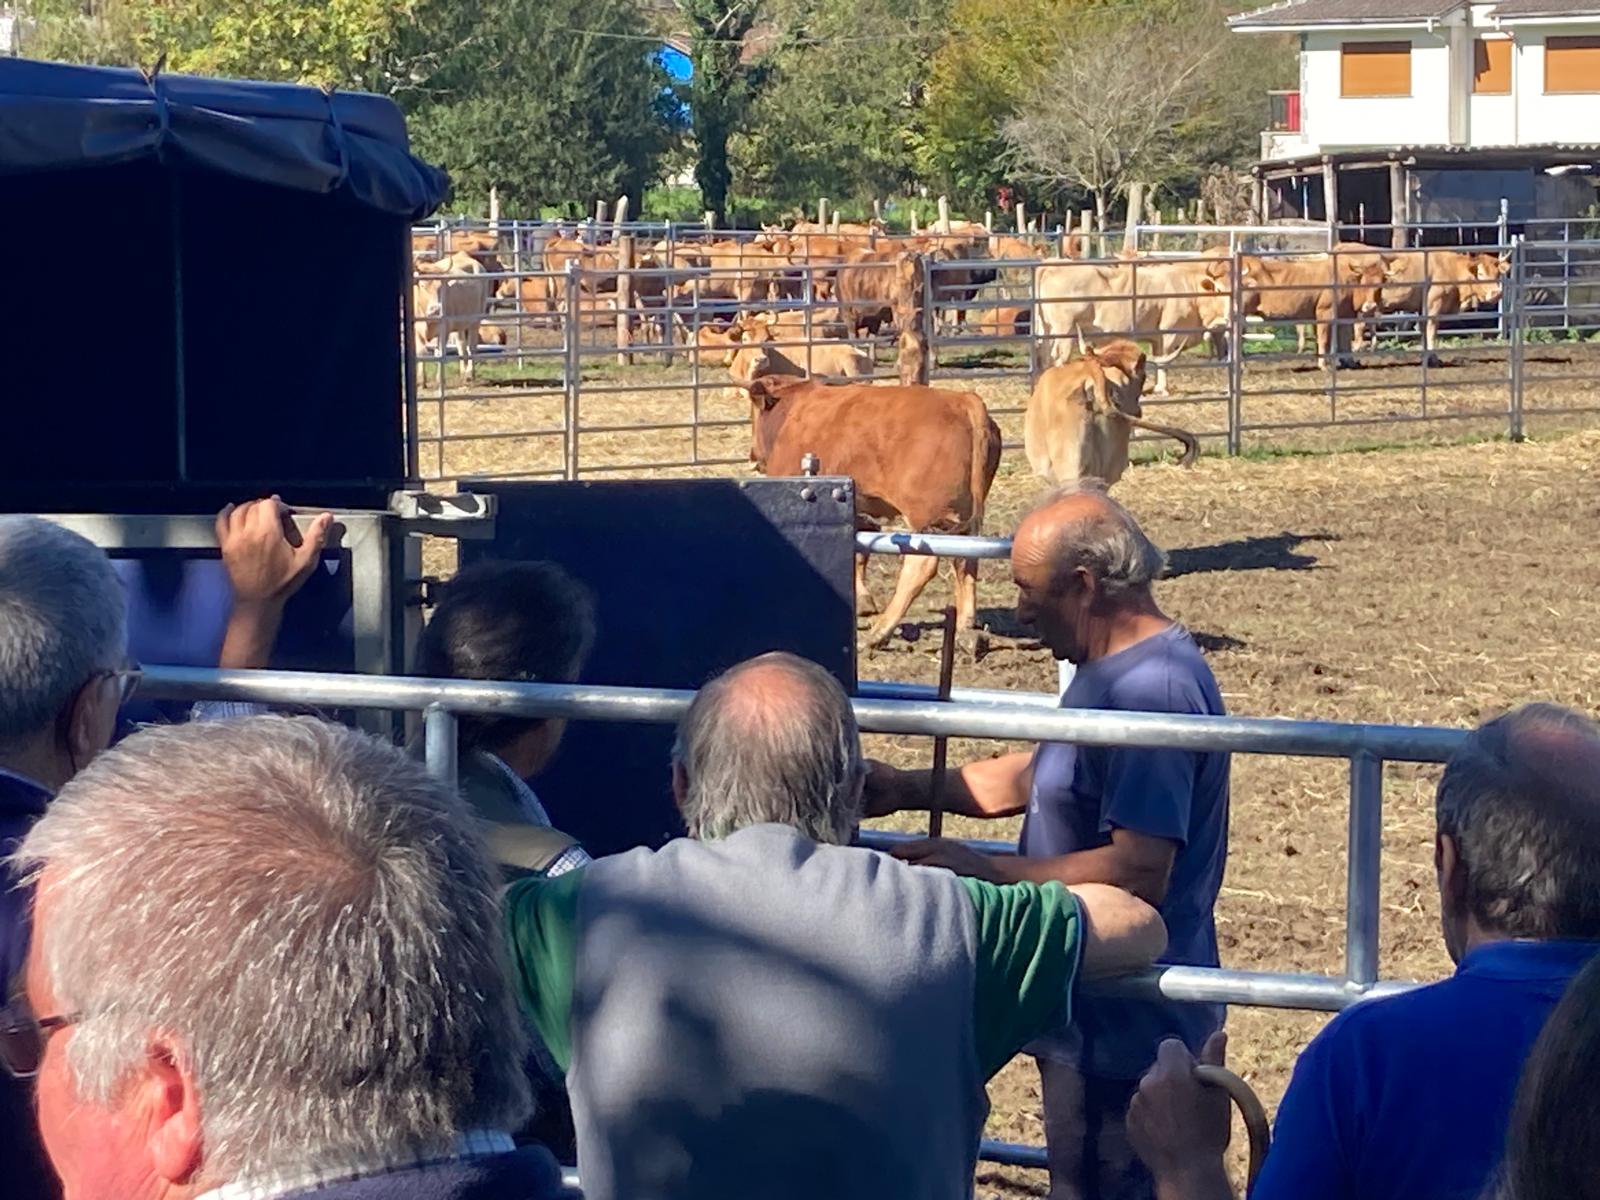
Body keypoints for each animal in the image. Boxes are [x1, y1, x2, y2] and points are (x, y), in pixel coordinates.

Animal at [748, 380, 998, 652]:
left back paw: (880, 632)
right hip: (964, 519)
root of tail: (963, 400)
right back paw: (967, 630)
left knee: (921, 564)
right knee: (966, 560)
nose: (753, 455)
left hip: (925, 517)